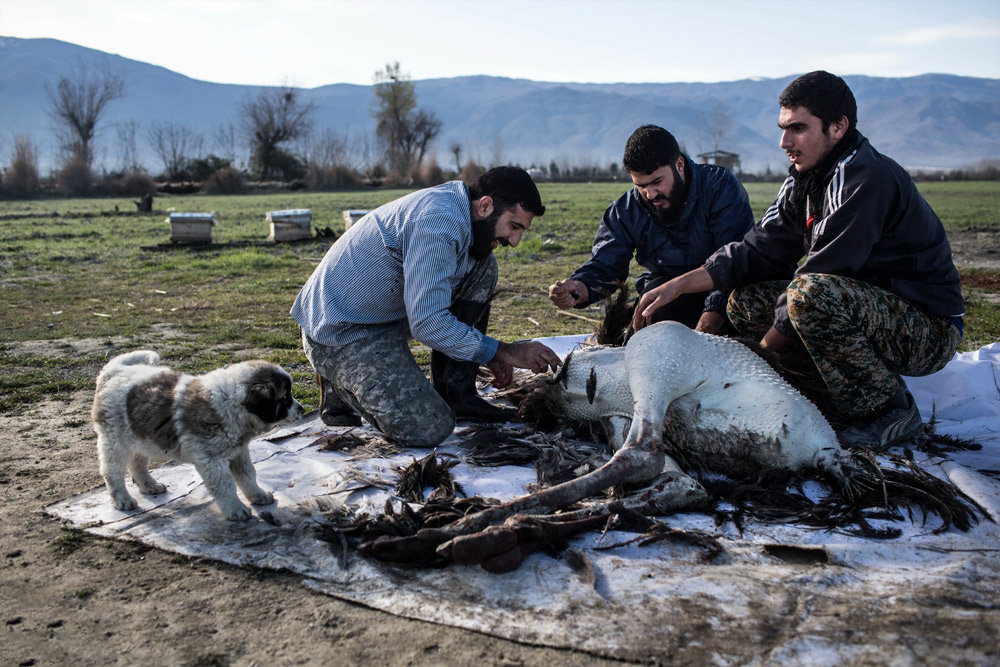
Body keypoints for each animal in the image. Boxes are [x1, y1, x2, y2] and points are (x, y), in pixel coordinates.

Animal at [94, 352, 304, 520]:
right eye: (285, 398)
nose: (302, 410)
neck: (231, 404)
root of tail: (113, 371)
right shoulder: (212, 460)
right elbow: (225, 486)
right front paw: (236, 509)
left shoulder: (239, 452)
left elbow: (247, 475)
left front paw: (258, 495)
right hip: (114, 441)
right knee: (113, 472)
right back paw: (122, 499)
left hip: (140, 437)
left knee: (137, 464)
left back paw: (149, 486)